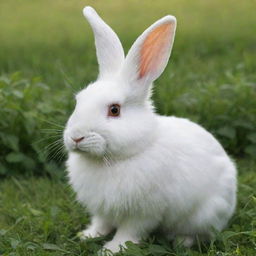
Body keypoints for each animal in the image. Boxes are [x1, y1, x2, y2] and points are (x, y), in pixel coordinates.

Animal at [64, 6, 236, 254]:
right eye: (78, 101)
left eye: (114, 110)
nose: (76, 137)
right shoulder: (103, 209)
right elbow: (101, 223)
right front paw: (87, 235)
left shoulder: (144, 212)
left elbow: (130, 232)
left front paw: (112, 249)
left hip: (204, 215)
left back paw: (181, 241)